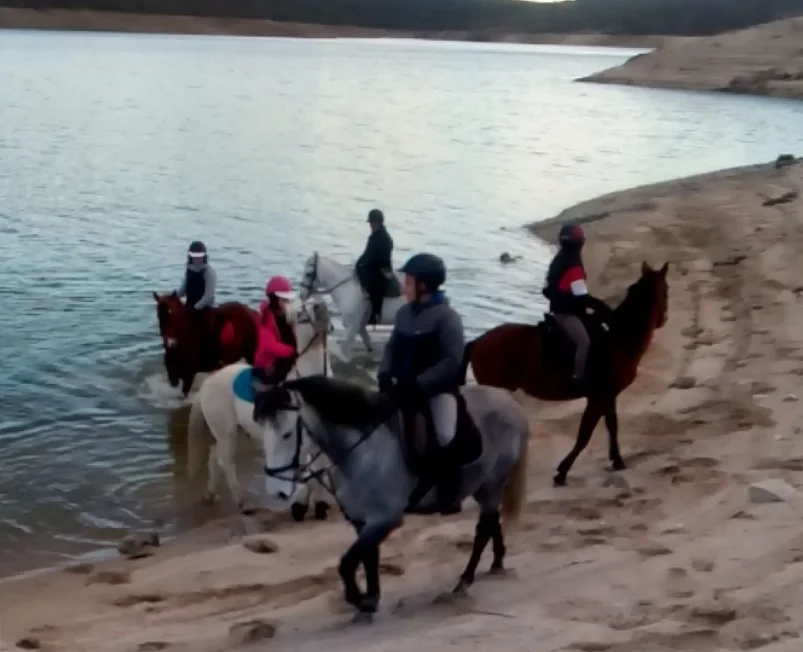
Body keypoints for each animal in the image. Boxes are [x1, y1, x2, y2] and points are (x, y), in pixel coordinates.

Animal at [185, 297, 336, 520]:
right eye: (300, 313)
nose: (321, 305)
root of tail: (206, 384)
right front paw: (299, 506)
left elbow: (318, 472)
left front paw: (319, 506)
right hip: (227, 433)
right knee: (225, 463)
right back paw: (243, 504)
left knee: (214, 459)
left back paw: (210, 495)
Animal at [260, 374, 530, 621]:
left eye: (287, 434)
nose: (276, 491)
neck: (363, 452)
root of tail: (509, 401)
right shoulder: (363, 522)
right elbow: (368, 557)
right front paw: (370, 600)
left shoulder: (385, 519)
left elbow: (347, 564)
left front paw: (360, 600)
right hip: (484, 486)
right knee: (492, 521)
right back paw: (497, 563)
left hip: (492, 483)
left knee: (483, 529)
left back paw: (463, 582)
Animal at [461, 261, 669, 487]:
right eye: (666, 290)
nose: (663, 319)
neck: (618, 341)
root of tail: (478, 342)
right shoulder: (598, 398)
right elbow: (585, 435)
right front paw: (562, 472)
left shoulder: (608, 396)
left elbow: (612, 426)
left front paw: (617, 460)